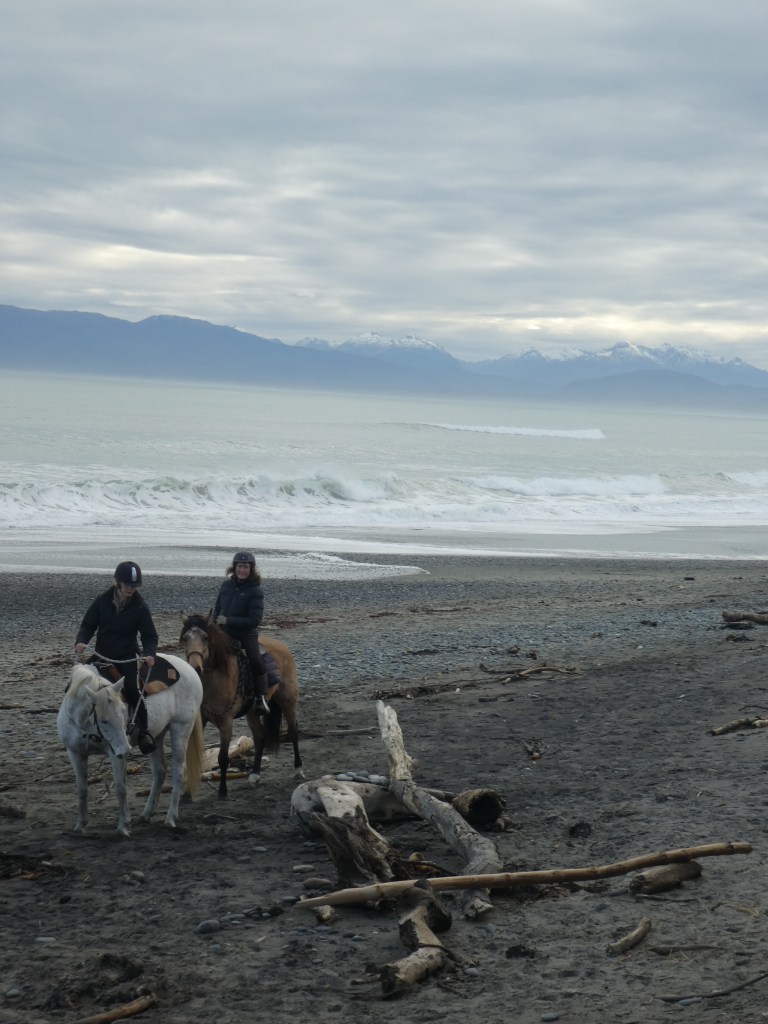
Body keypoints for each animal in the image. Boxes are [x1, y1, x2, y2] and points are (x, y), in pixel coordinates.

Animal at [58, 655, 205, 835]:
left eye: (123, 711)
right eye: (104, 720)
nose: (126, 749)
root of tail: (188, 667)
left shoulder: (115, 753)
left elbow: (120, 787)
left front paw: (123, 826)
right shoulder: (75, 753)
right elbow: (81, 789)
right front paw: (80, 825)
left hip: (181, 728)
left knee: (178, 770)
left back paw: (170, 818)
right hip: (157, 735)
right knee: (160, 770)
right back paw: (147, 813)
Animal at [179, 614, 303, 798]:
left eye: (206, 637)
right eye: (185, 638)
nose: (195, 668)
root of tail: (283, 647)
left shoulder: (226, 721)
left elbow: (223, 758)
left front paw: (222, 790)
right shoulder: (201, 718)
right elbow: (190, 756)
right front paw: (186, 793)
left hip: (288, 701)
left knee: (293, 733)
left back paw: (298, 770)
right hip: (252, 713)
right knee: (259, 738)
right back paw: (254, 775)